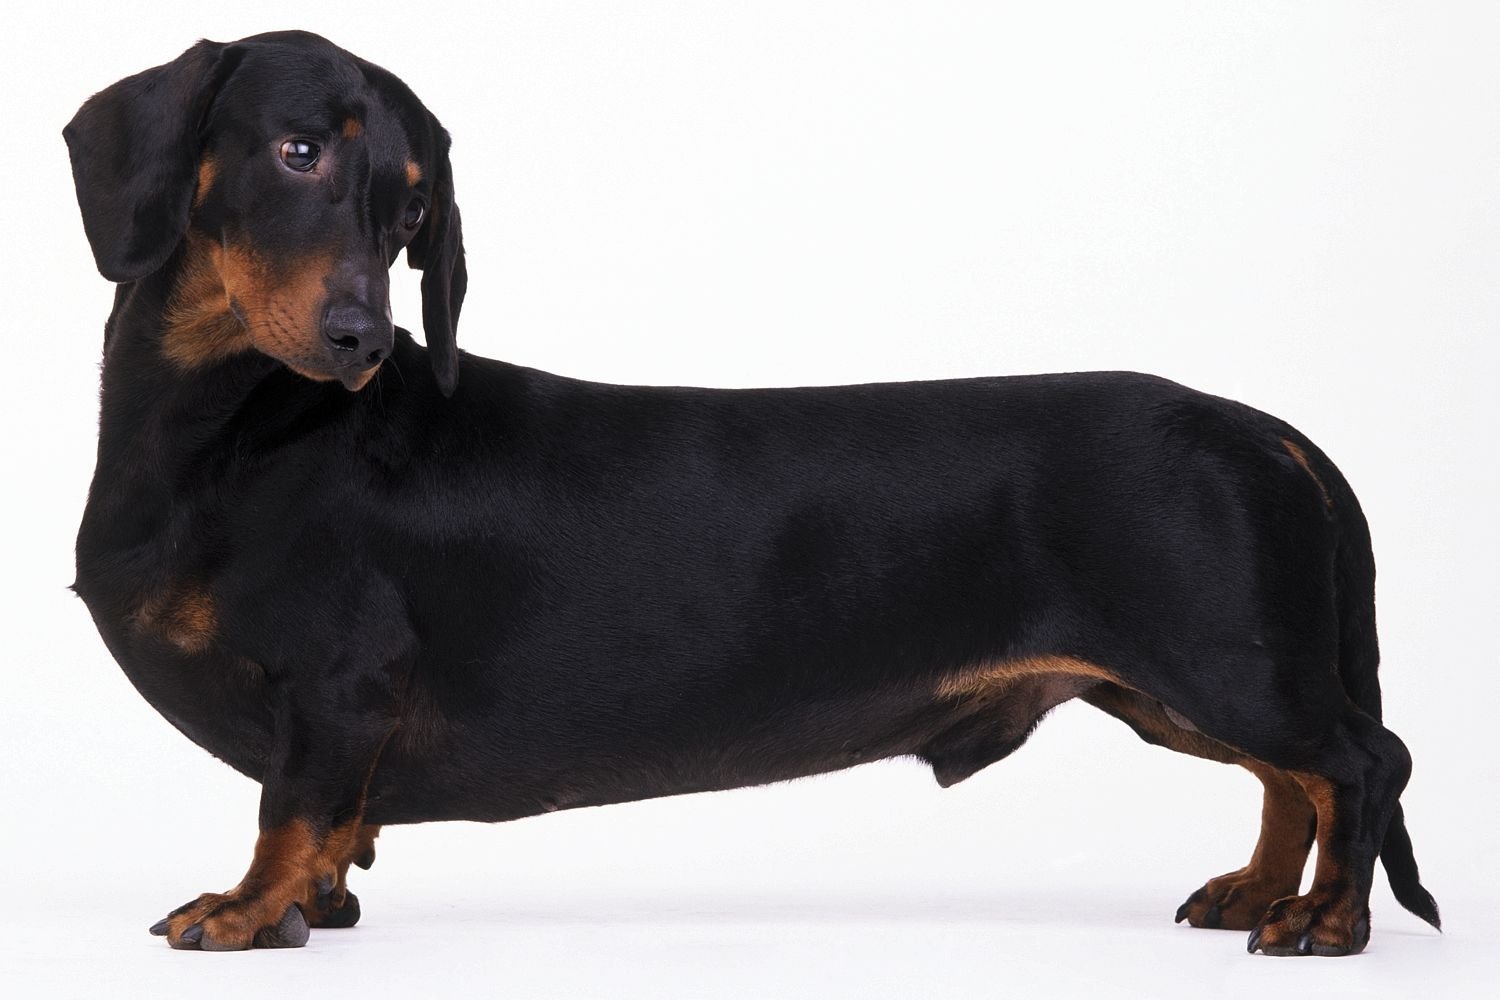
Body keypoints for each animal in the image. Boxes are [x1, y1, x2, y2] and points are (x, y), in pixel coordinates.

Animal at [65, 30, 1439, 955]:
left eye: (410, 214)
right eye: (296, 152)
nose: (358, 339)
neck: (244, 423)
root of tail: (1266, 428)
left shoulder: (337, 682)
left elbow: (290, 809)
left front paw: (249, 907)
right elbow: (329, 824)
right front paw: (322, 900)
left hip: (1222, 662)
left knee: (1359, 762)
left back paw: (1325, 918)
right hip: (1186, 683)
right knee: (1291, 779)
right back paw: (1262, 889)